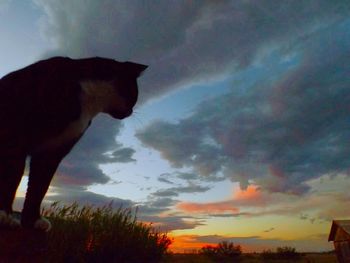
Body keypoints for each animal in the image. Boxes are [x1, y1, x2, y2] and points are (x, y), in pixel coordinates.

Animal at [0, 56, 147, 231]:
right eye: (135, 94)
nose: (131, 112)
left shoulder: (52, 153)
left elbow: (39, 187)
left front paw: (33, 220)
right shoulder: (15, 138)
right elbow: (11, 178)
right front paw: (4, 215)